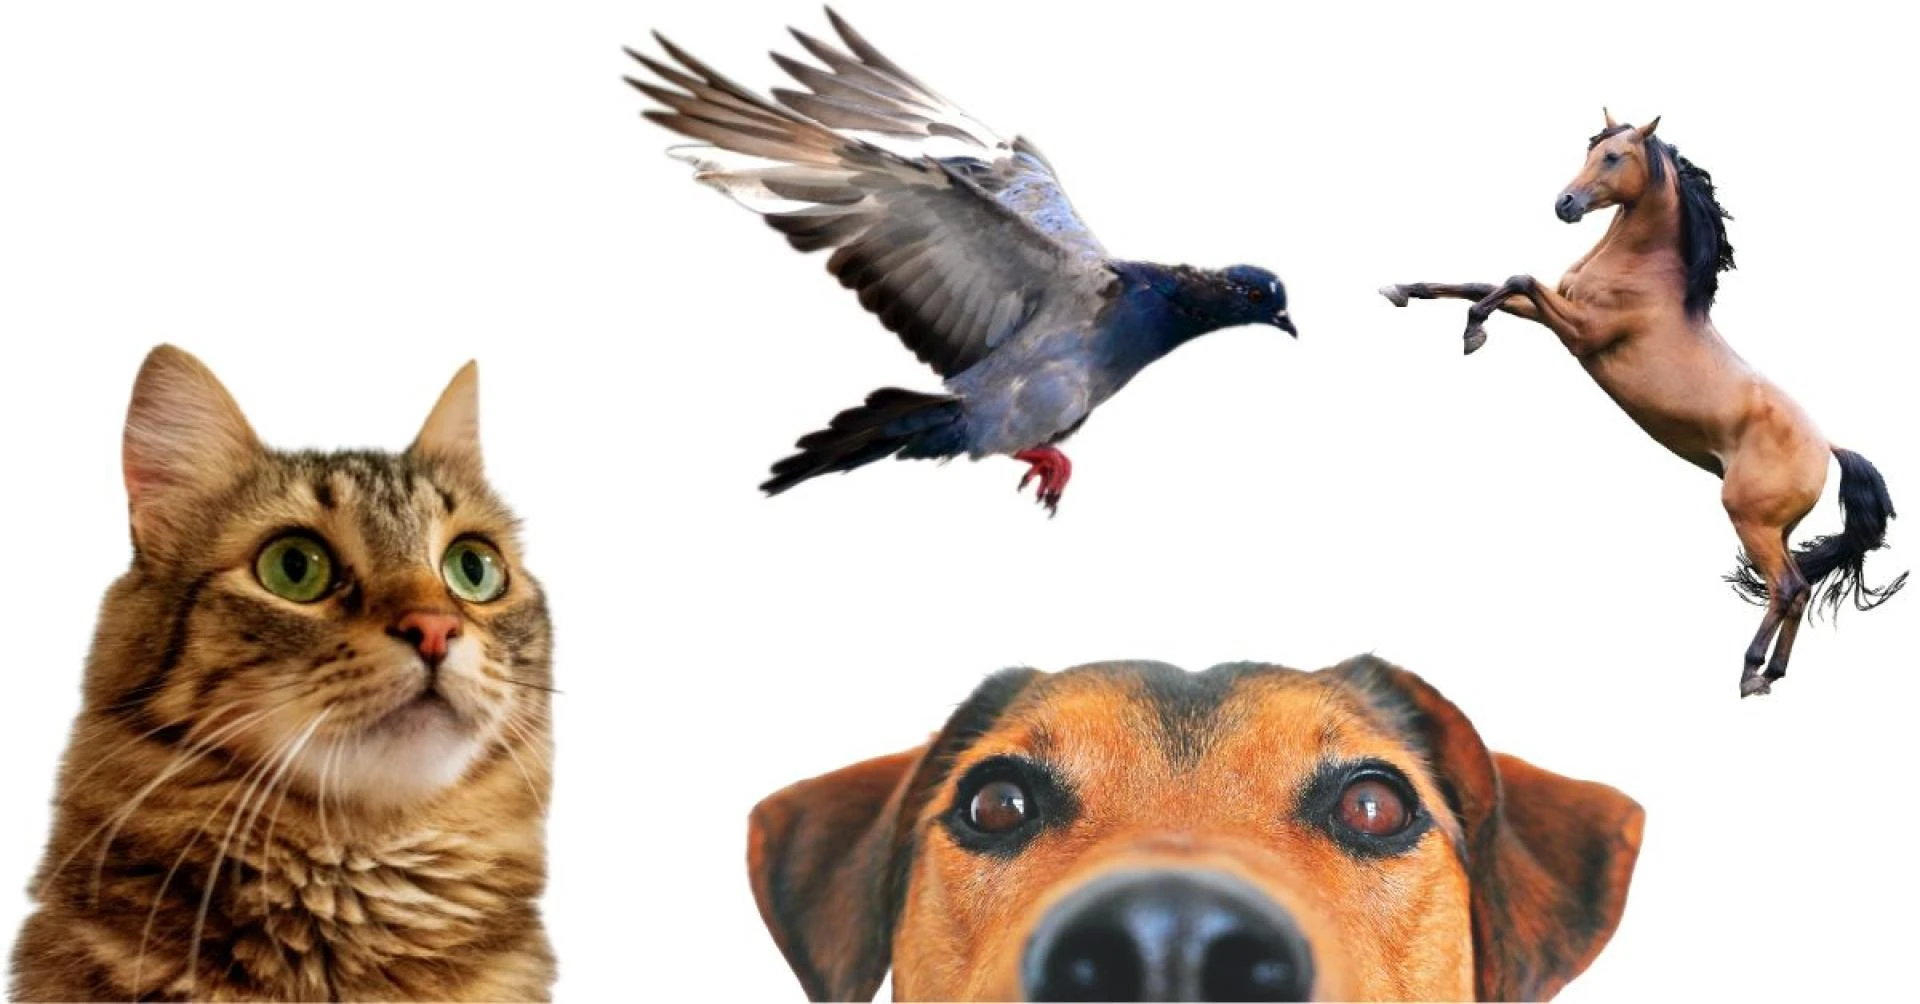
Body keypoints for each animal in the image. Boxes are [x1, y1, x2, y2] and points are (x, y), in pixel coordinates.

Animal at [1380, 110, 1905, 698]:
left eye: (1613, 157)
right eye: (1590, 151)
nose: (1565, 204)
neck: (1644, 272)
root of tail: (1828, 448)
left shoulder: (1580, 332)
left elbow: (1516, 278)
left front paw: (1473, 332)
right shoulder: (1553, 310)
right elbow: (1484, 282)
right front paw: (1402, 290)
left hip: (1749, 519)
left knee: (1788, 587)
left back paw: (1751, 671)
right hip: (1777, 529)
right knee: (1798, 590)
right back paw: (1772, 674)